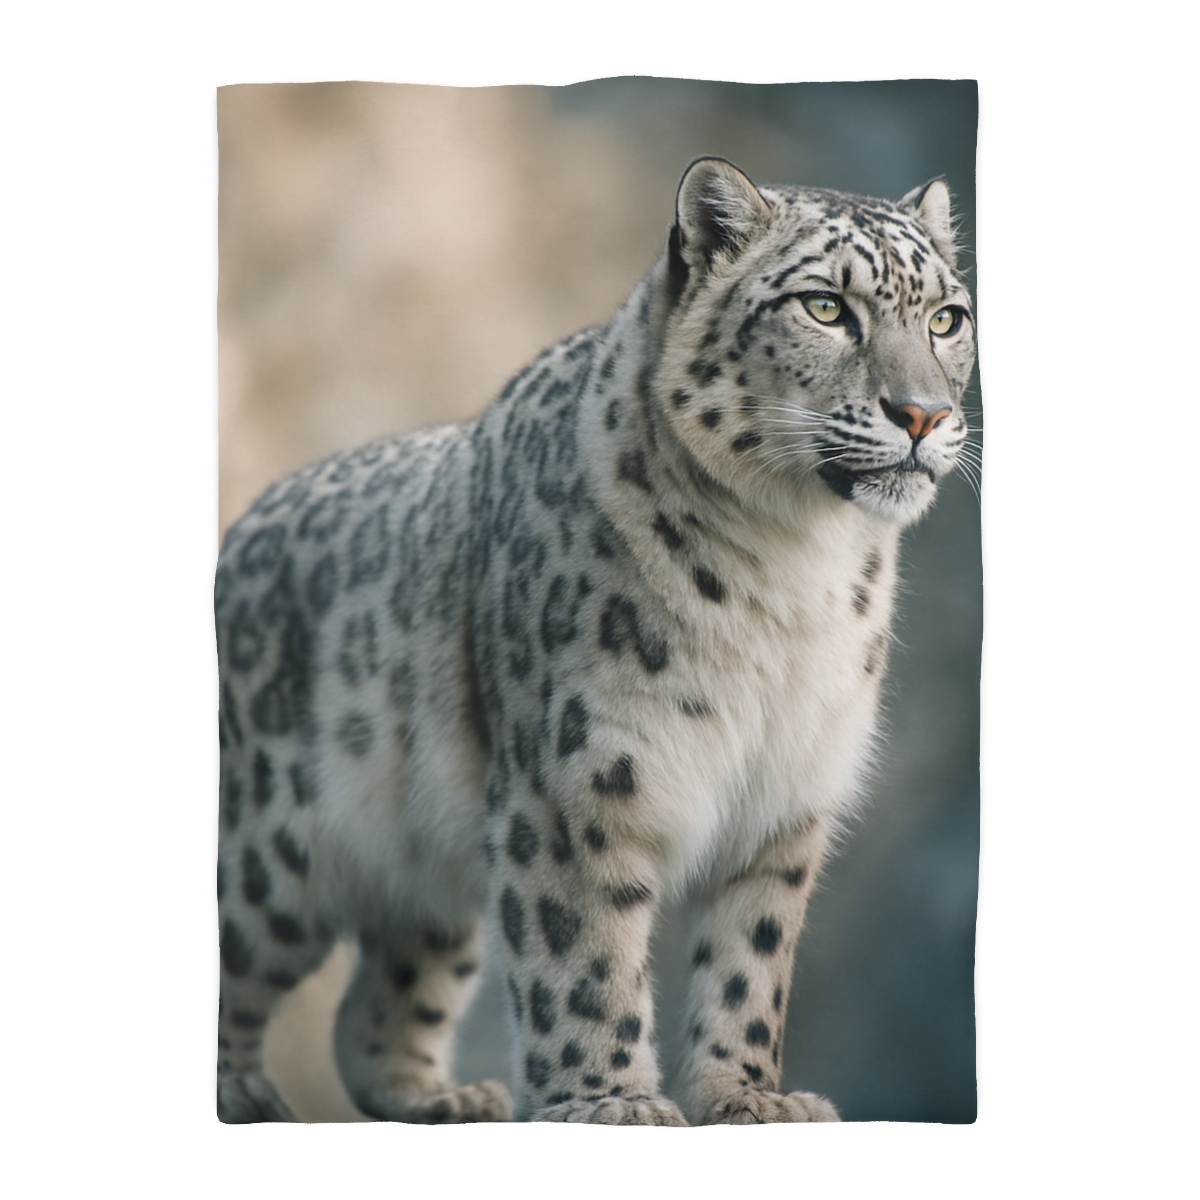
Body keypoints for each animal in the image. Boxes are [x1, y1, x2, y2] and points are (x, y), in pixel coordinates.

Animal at [215, 156, 976, 1125]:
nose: (922, 415)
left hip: (430, 869)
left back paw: (445, 1099)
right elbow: (583, 953)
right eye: (825, 307)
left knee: (380, 1001)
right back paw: (243, 1089)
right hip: (268, 852)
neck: (794, 569)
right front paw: (609, 1100)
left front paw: (748, 1096)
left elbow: (751, 960)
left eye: (947, 318)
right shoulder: (577, 783)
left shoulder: (787, 798)